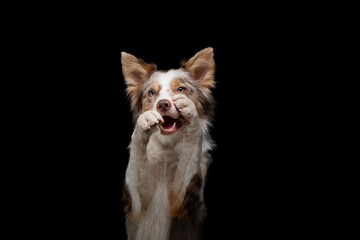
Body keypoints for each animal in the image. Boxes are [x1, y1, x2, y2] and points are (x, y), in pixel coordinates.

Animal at [122, 47, 215, 239]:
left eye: (180, 89)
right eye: (152, 93)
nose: (163, 104)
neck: (168, 146)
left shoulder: (180, 199)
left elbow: (190, 153)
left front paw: (190, 112)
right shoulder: (139, 200)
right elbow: (135, 162)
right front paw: (143, 123)